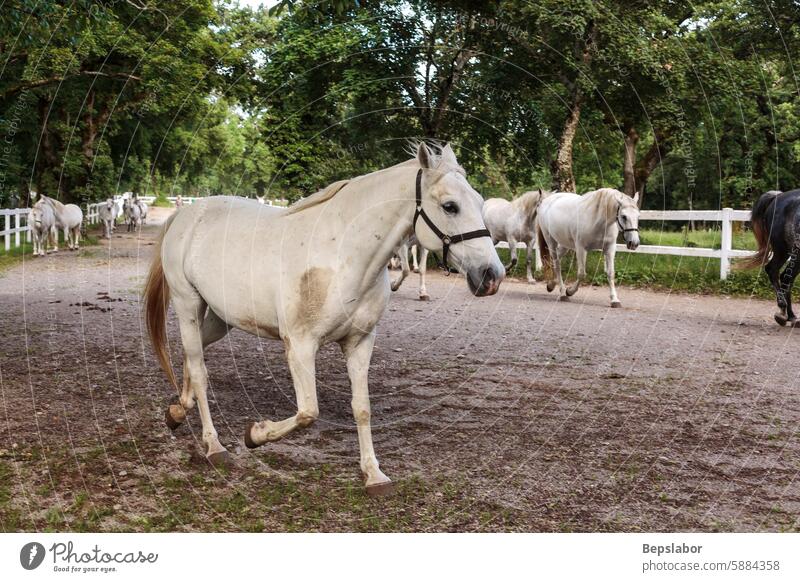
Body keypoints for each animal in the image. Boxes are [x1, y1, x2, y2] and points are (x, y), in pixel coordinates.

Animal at [144, 144, 504, 496]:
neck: (342, 255)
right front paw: (255, 434)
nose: (492, 276)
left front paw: (373, 475)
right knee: (199, 368)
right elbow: (308, 412)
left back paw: (178, 411)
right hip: (188, 304)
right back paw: (214, 445)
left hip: (221, 318)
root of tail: (186, 215)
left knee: (192, 356)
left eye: (479, 202)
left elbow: (361, 407)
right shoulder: (300, 345)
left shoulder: (360, 343)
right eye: (450, 206)